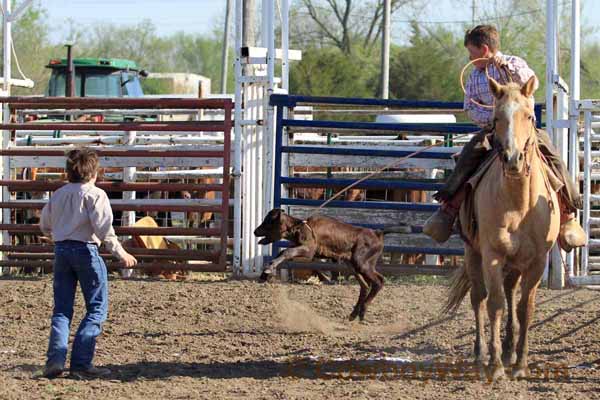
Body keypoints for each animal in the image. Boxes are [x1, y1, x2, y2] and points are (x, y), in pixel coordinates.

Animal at [442, 76, 560, 382]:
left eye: (529, 116)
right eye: (496, 118)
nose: (512, 159)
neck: (519, 204)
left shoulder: (537, 260)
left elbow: (524, 307)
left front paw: (520, 364)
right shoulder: (492, 255)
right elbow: (495, 304)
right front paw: (495, 366)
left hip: (516, 262)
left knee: (510, 292)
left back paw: (509, 351)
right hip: (473, 253)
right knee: (479, 298)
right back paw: (481, 354)